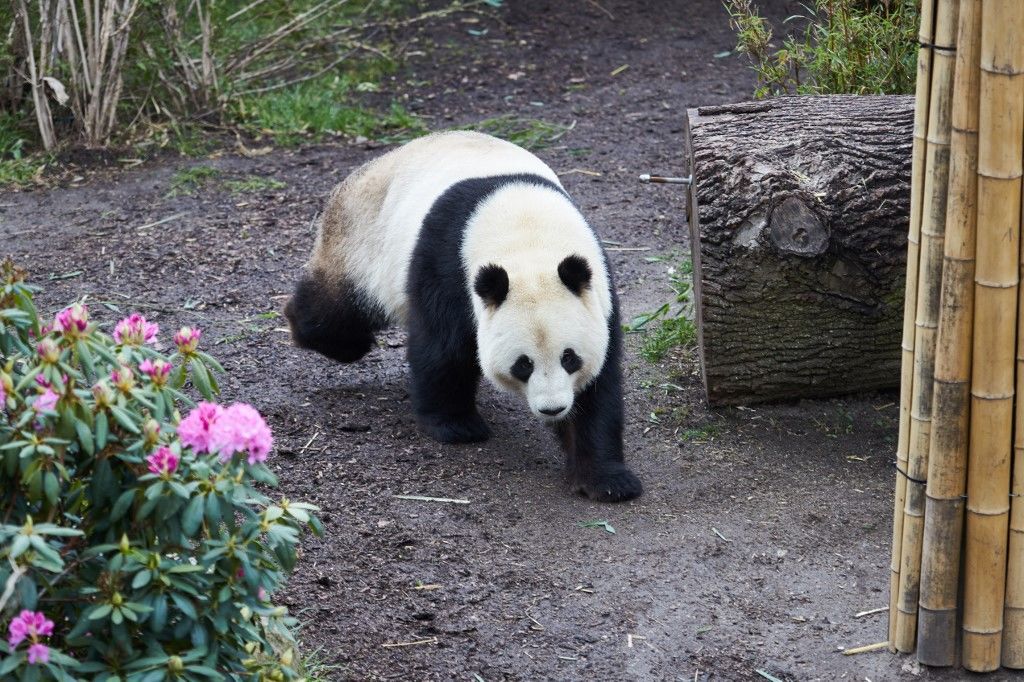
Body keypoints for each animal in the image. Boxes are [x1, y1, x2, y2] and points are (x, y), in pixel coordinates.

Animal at [282, 130, 638, 499]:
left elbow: (598, 388)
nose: (552, 408)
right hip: (363, 241)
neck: (528, 236)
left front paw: (607, 480)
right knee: (338, 306)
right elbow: (443, 348)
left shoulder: (598, 291)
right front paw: (456, 425)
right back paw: (330, 337)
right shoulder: (448, 264)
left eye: (570, 358)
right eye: (523, 364)